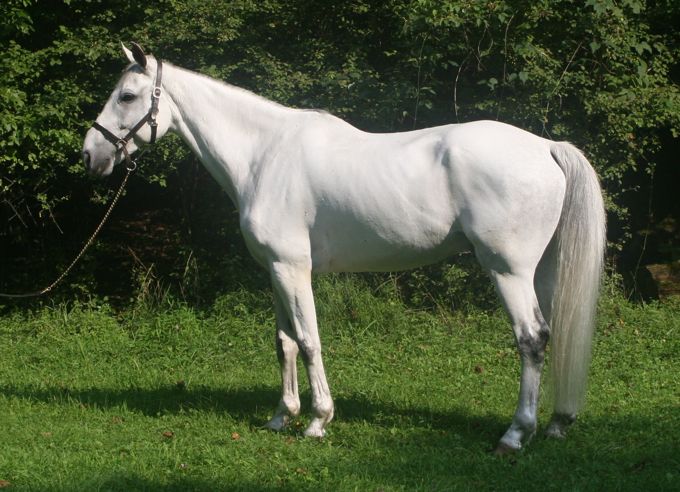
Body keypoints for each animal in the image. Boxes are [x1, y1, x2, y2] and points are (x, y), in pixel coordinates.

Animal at [82, 43, 605, 453]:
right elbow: (285, 342)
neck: (263, 155)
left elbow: (310, 339)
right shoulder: (275, 269)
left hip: (509, 271)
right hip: (544, 270)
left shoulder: (293, 268)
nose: (91, 154)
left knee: (532, 338)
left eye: (127, 95)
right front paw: (281, 416)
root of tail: (544, 147)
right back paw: (557, 423)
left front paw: (317, 420)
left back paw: (515, 435)